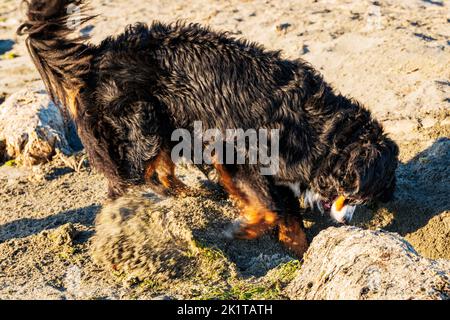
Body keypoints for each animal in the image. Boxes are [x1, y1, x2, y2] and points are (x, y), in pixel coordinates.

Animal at [18, 0, 398, 255]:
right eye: (362, 194)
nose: (350, 221)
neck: (321, 132)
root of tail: (98, 57)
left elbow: (285, 210)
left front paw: (297, 247)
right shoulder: (237, 153)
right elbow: (270, 207)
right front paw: (244, 229)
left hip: (165, 125)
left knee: (161, 171)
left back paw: (186, 194)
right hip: (140, 124)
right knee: (128, 182)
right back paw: (126, 223)